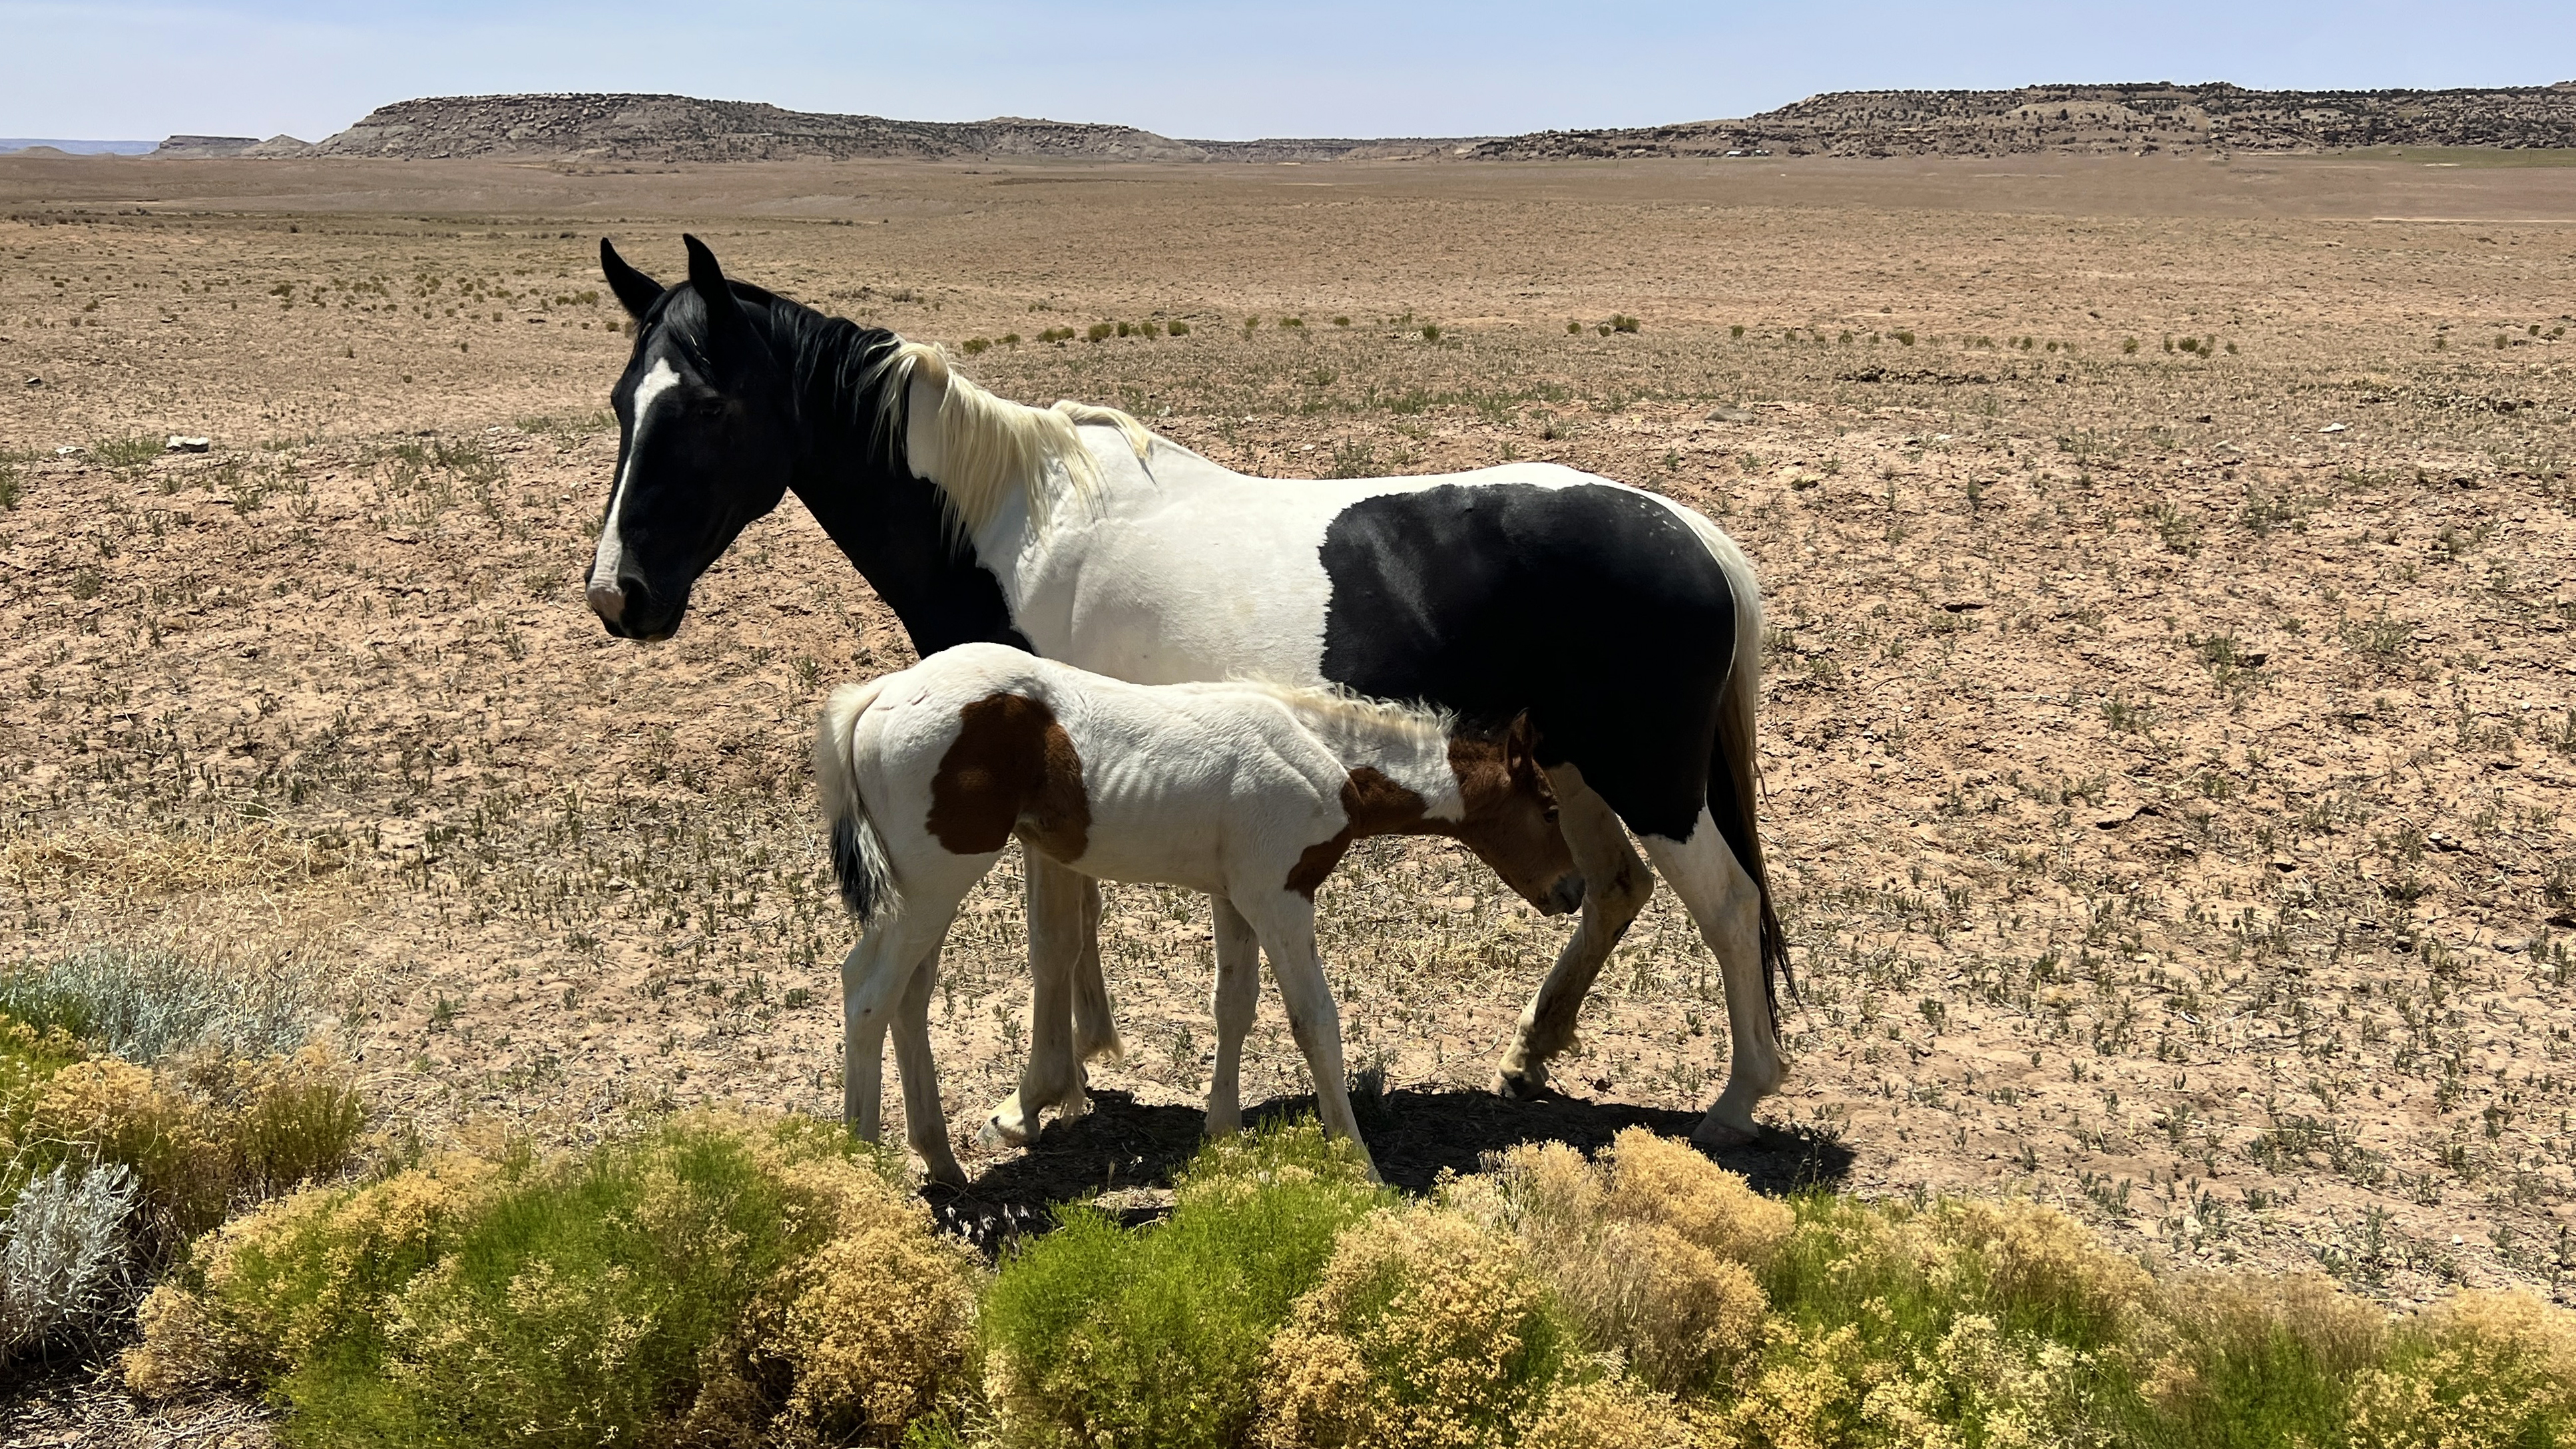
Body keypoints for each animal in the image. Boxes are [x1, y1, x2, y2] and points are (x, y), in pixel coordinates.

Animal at [814, 640, 1576, 1183]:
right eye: (1547, 804)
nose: (1570, 890)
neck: (1324, 756)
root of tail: (877, 695)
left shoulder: (1234, 896)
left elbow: (1233, 1004)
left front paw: (1223, 1133)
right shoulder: (1282, 895)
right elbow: (1314, 1020)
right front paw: (1359, 1163)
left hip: (921, 891)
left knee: (908, 997)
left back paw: (941, 1161)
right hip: (934, 879)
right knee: (868, 991)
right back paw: (861, 1164)